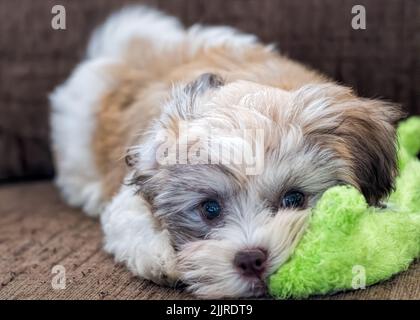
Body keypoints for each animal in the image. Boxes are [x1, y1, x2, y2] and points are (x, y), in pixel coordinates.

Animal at [50, 5, 404, 298]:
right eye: (210, 209)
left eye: (293, 199)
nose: (250, 259)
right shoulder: (130, 195)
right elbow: (131, 223)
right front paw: (162, 256)